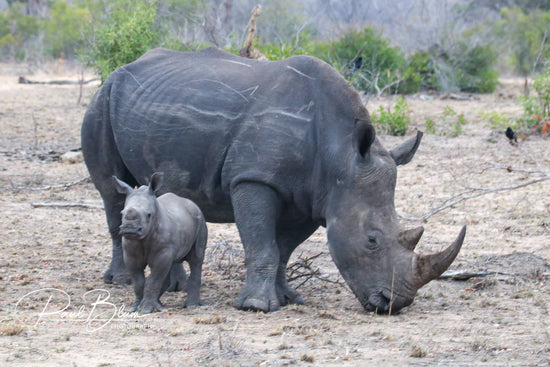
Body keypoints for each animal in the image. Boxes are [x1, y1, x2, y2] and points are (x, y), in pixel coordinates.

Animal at [114, 172, 207, 314]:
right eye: (122, 213)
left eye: (148, 214)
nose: (130, 229)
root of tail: (192, 204)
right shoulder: (130, 254)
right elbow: (138, 281)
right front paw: (135, 307)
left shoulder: (163, 251)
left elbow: (154, 280)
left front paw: (146, 309)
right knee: (171, 264)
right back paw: (159, 303)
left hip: (201, 220)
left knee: (196, 260)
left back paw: (191, 306)